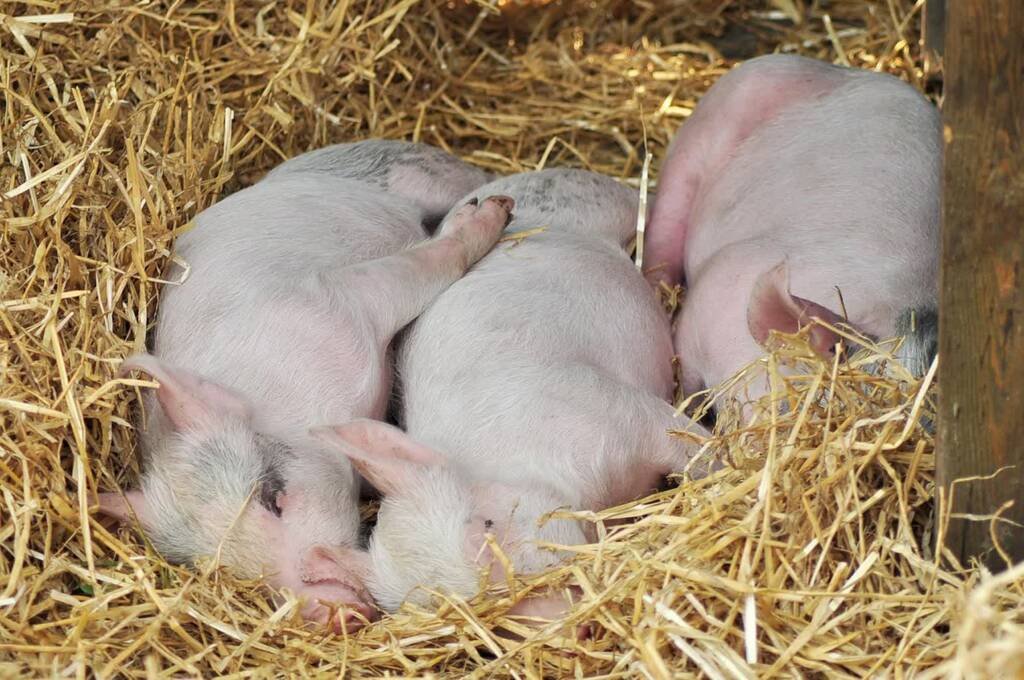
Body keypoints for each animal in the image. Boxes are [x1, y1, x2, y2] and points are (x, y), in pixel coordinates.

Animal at [97, 140, 513, 632]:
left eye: (272, 497)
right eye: (226, 571)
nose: (328, 613)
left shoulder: (335, 301)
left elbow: (423, 266)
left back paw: (495, 205)